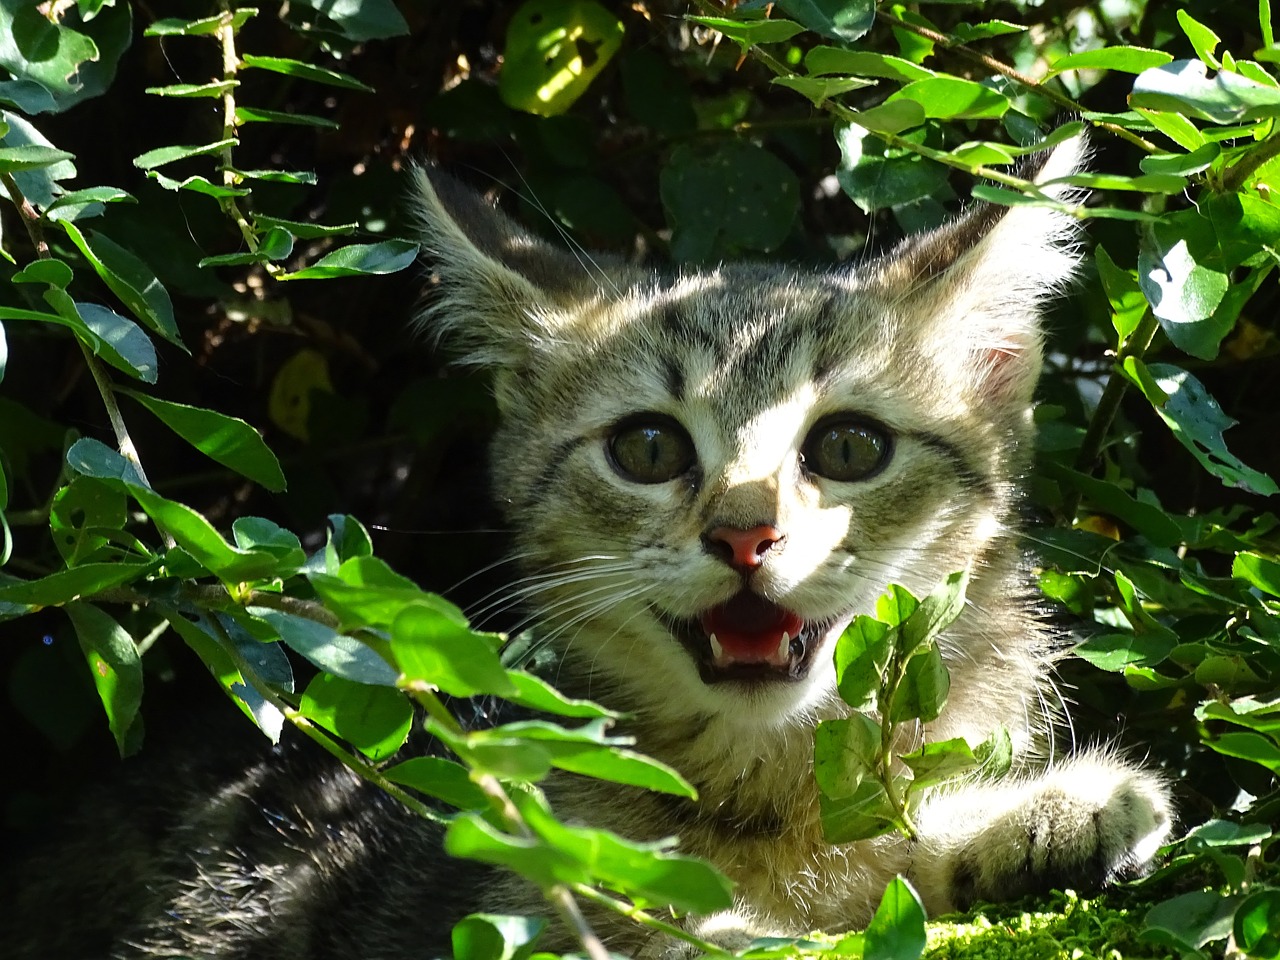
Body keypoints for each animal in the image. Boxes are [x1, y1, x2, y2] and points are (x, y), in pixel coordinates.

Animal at [2, 136, 1172, 960]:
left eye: (848, 446)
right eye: (648, 448)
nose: (744, 531)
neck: (768, 794)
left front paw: (1039, 814)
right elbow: (658, 929)